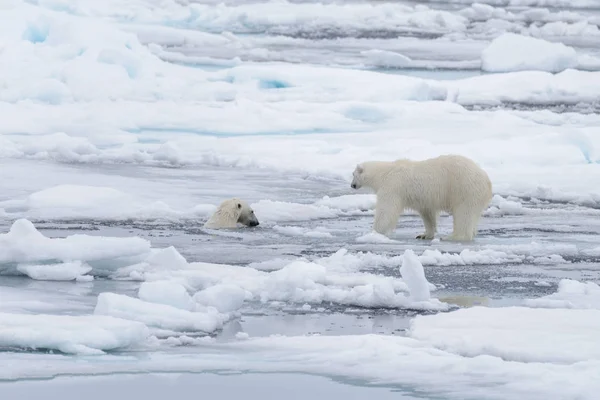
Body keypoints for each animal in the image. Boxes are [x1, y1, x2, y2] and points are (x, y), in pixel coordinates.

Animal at [352, 154, 492, 241]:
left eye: (353, 175)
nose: (352, 185)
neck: (384, 173)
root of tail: (486, 179)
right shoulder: (424, 199)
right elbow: (427, 214)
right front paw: (424, 235)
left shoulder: (392, 186)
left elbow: (386, 210)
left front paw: (374, 232)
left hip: (464, 188)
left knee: (464, 214)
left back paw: (454, 237)